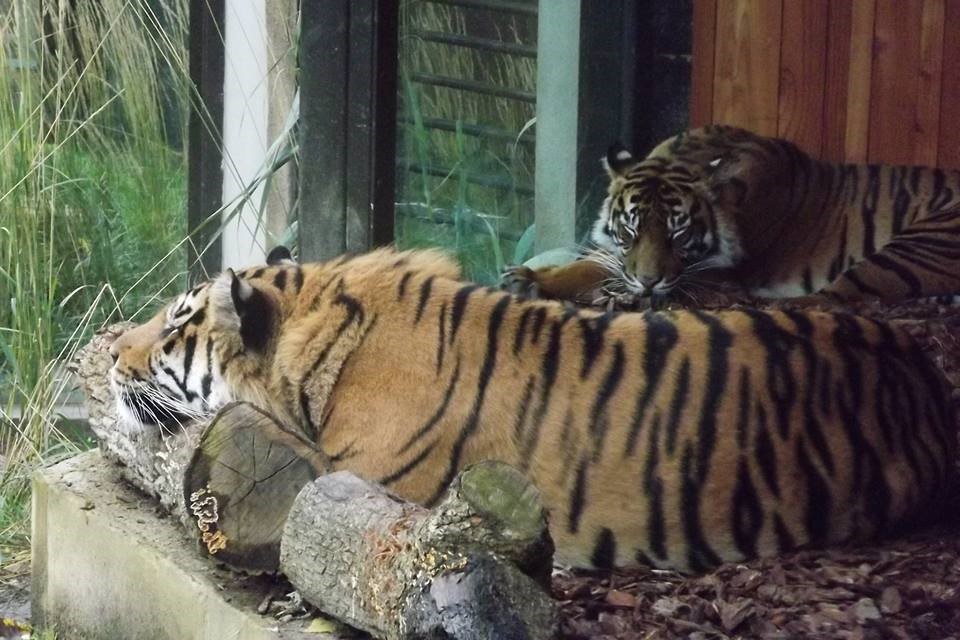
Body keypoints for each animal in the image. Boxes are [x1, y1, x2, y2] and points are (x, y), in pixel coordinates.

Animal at [502, 124, 960, 308]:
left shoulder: (708, 270)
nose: (647, 283)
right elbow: (586, 265)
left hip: (921, 242)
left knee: (831, 298)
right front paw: (527, 279)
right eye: (630, 231)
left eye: (679, 234)